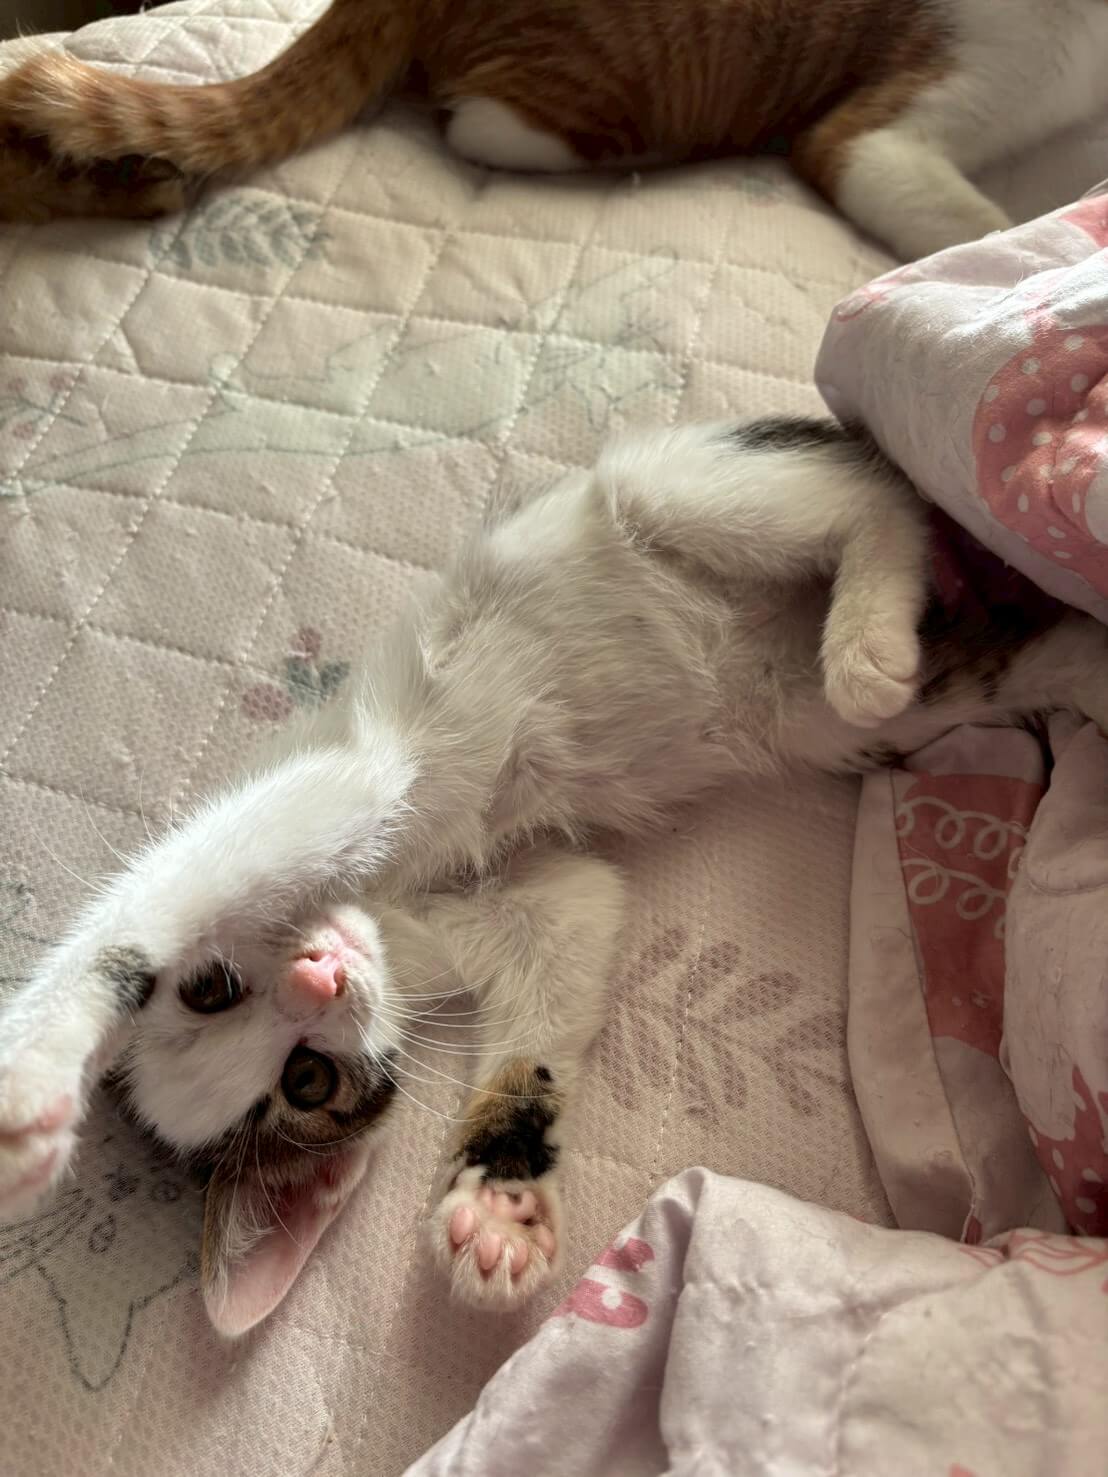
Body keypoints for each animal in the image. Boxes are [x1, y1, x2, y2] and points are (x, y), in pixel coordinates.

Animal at [1, 414, 1106, 1339]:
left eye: (212, 987)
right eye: (304, 1080)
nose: (321, 977)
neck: (391, 912)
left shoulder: (337, 785)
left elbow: (157, 901)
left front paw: (37, 1073)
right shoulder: (532, 908)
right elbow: (558, 975)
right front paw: (498, 1208)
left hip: (672, 492)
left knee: (872, 495)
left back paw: (868, 631)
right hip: (810, 718)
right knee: (987, 657)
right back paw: (1074, 666)